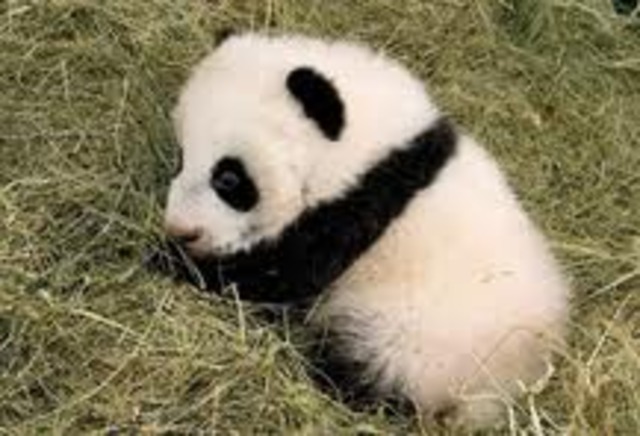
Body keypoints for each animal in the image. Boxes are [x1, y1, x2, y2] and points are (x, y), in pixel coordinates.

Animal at [161, 32, 569, 429]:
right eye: (181, 158)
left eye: (229, 179)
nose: (182, 231)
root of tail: (502, 386)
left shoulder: (360, 204)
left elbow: (283, 272)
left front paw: (170, 261)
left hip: (414, 341)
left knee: (365, 367)